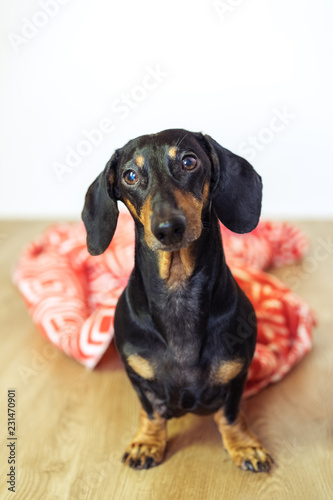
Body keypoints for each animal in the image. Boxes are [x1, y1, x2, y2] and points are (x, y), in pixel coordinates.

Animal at [81, 129, 272, 472]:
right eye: (130, 176)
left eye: (189, 161)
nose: (168, 228)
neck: (177, 289)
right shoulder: (139, 378)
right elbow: (152, 412)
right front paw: (147, 442)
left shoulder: (237, 375)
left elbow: (230, 415)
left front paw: (244, 446)